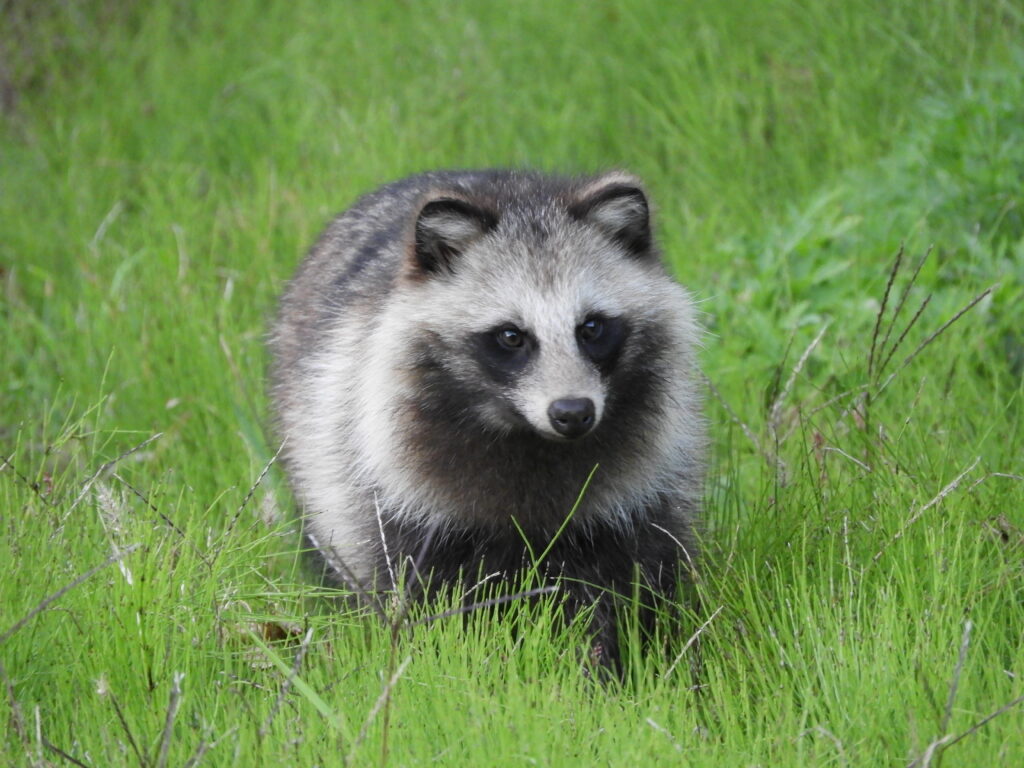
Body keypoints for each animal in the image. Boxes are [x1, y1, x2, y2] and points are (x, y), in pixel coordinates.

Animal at [268, 169, 708, 667]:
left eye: (591, 327)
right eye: (511, 336)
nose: (572, 412)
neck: (529, 438)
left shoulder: (635, 487)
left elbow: (617, 584)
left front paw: (607, 662)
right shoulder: (397, 482)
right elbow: (423, 587)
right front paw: (449, 657)